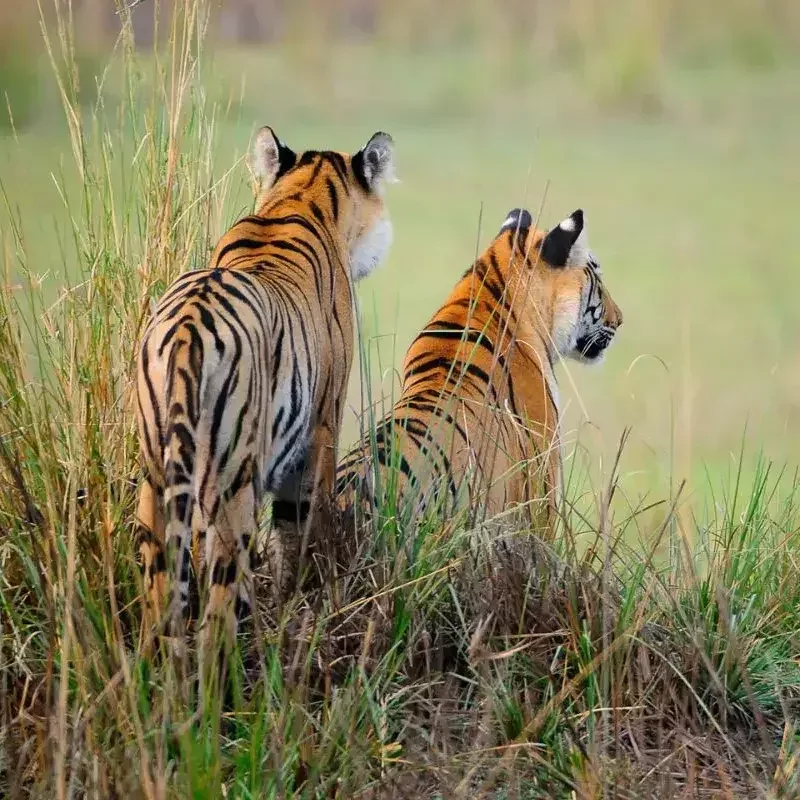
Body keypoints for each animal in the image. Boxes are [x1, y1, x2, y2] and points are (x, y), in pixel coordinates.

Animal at [135, 126, 397, 660]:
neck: (301, 195)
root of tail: (189, 329)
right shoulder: (323, 423)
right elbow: (304, 527)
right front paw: (310, 598)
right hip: (233, 481)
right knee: (216, 614)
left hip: (154, 477)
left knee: (161, 600)